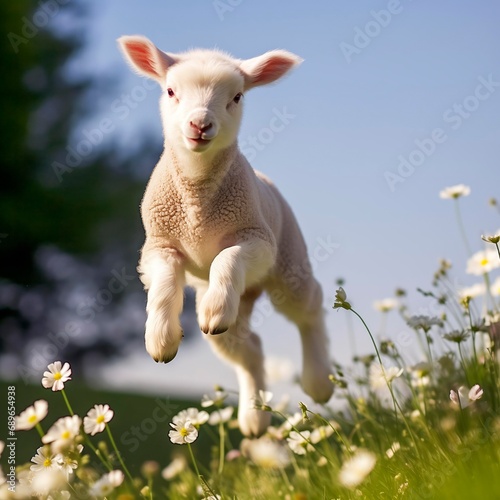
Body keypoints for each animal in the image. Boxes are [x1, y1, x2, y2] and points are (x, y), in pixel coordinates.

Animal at [118, 35, 334, 436]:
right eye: (170, 91)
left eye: (237, 97)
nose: (200, 124)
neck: (197, 200)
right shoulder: (158, 245)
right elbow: (165, 282)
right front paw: (161, 339)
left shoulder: (257, 239)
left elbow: (227, 256)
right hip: (233, 308)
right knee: (248, 347)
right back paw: (254, 418)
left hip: (288, 262)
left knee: (309, 307)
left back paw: (319, 382)